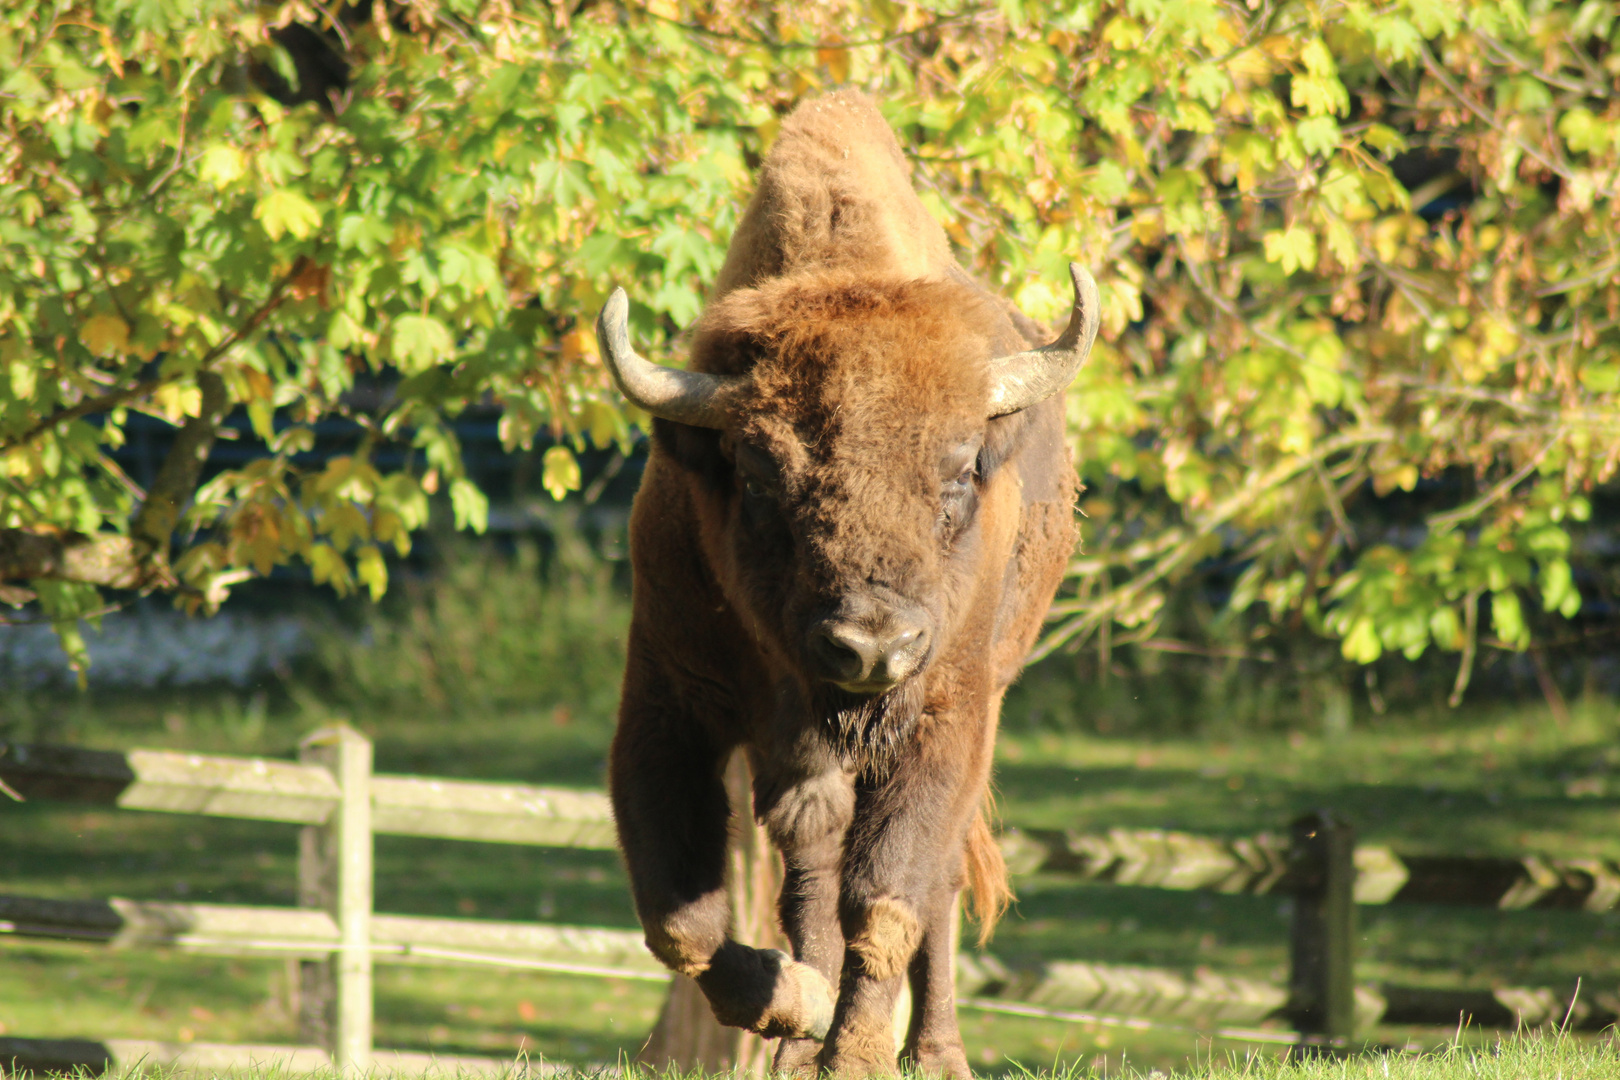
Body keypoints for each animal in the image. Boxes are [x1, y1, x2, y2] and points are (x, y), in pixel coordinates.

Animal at [599, 95, 1101, 1080]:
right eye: (759, 475)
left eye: (959, 472)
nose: (872, 646)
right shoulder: (669, 699)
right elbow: (681, 919)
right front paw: (793, 1003)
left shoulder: (948, 715)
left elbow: (891, 896)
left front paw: (856, 1050)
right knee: (809, 868)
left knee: (932, 886)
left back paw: (934, 1052)